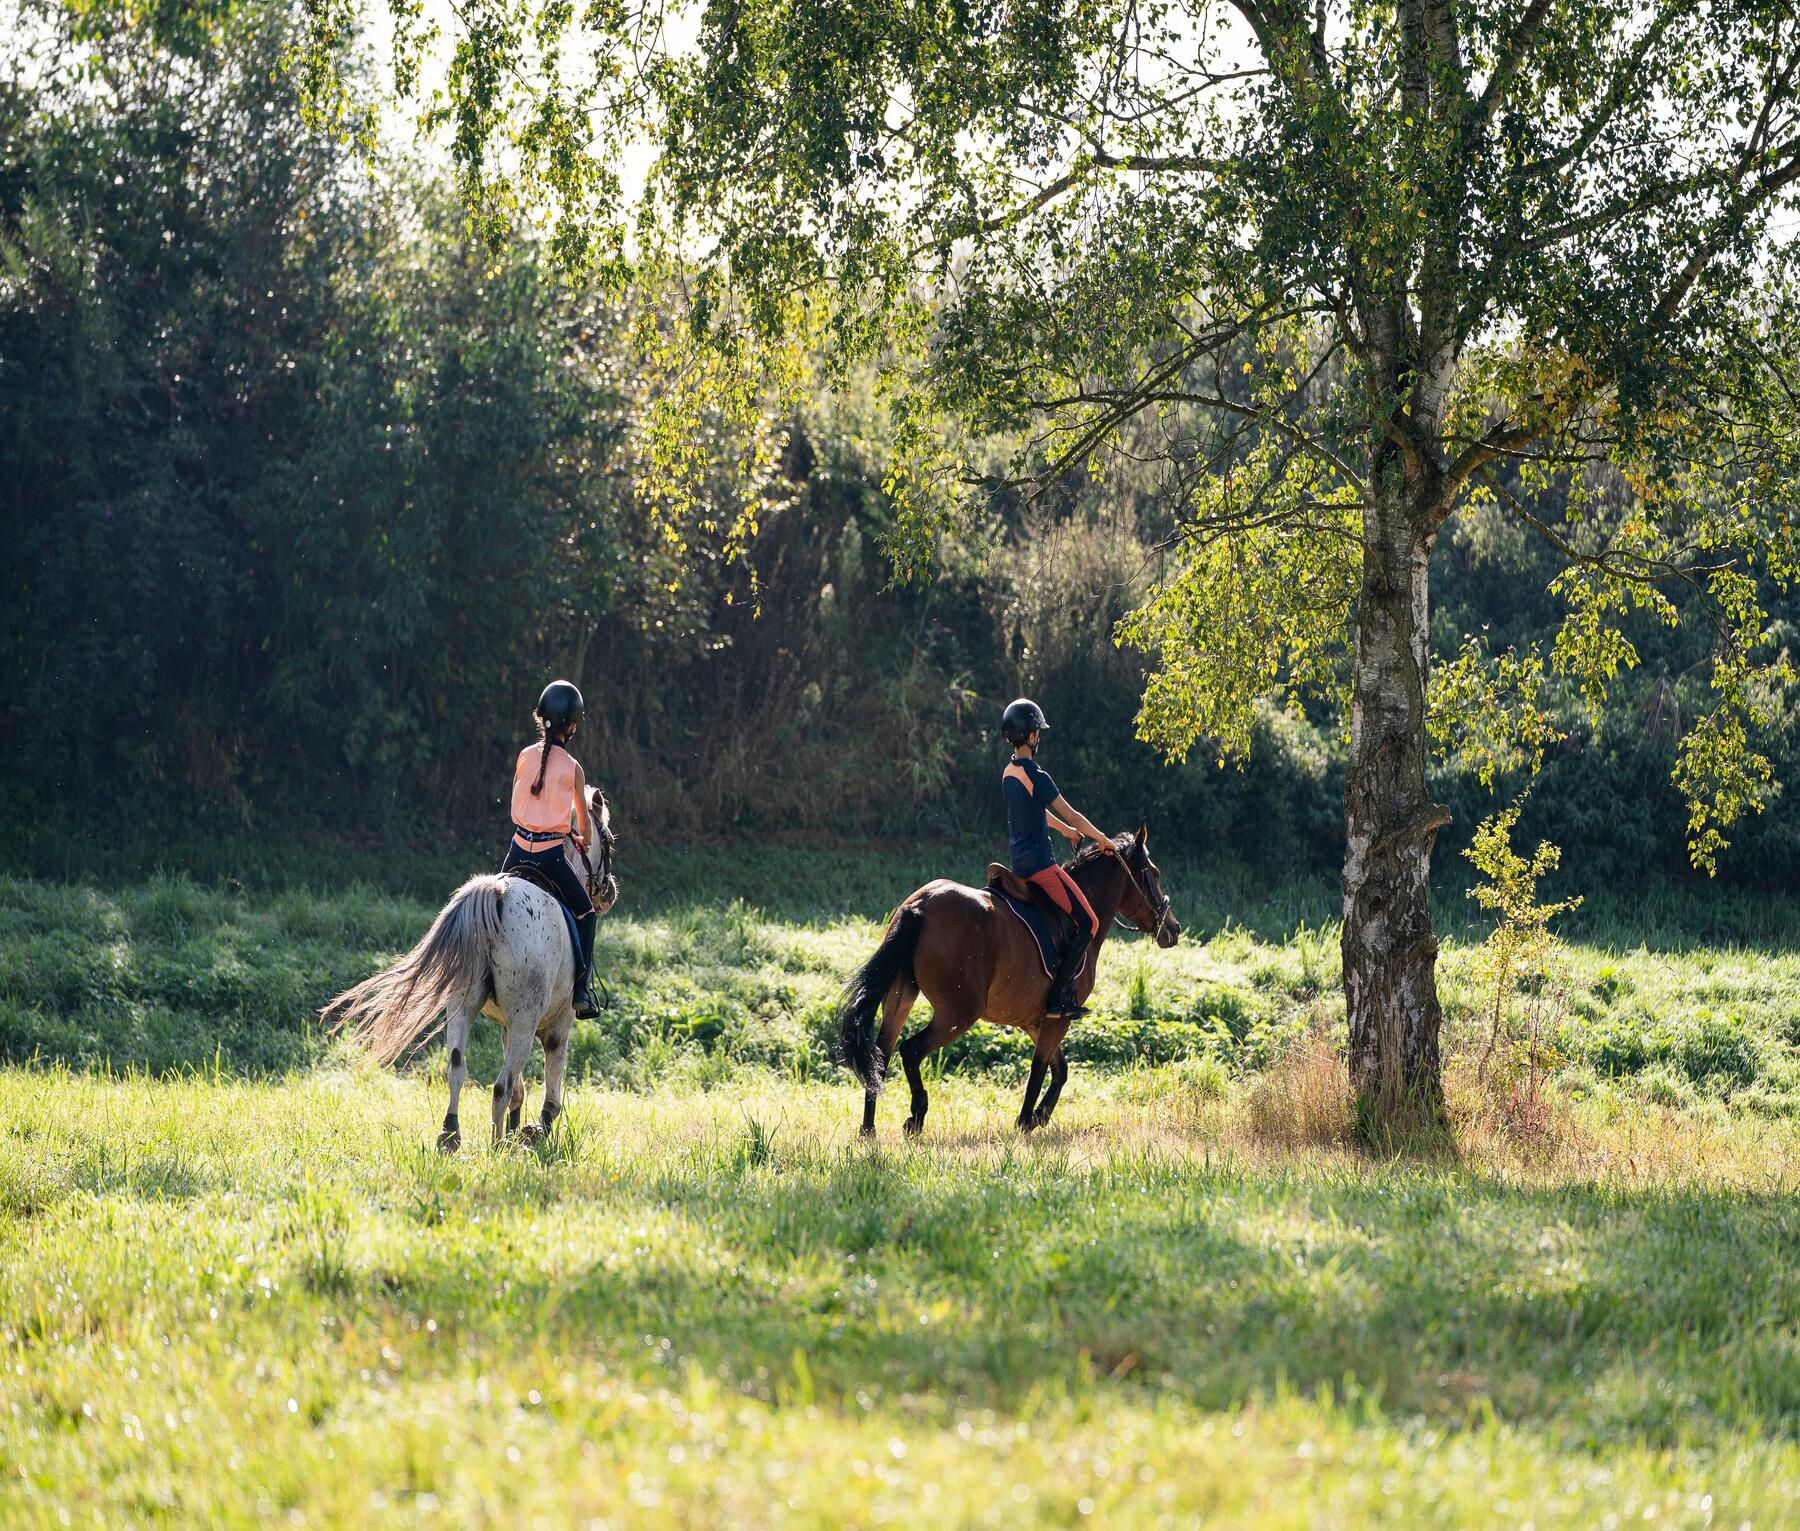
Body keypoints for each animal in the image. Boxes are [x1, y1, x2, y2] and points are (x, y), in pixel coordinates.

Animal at [831, 827, 1173, 1137]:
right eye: (1155, 875)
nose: (1174, 928)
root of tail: (921, 904)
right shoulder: (1057, 1019)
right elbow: (1040, 1068)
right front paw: (1026, 1121)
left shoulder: (1033, 1020)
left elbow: (1060, 1069)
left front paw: (1040, 1115)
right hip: (958, 1013)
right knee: (910, 1050)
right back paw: (916, 1116)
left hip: (901, 998)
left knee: (879, 1056)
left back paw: (868, 1129)